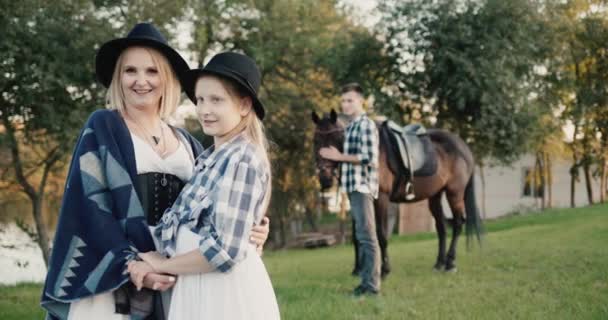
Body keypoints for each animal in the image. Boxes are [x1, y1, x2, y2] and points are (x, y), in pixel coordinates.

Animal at [312, 110, 482, 272]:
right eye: (315, 141)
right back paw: (439, 264)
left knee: (458, 223)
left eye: (336, 138)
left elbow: (381, 234)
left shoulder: (381, 198)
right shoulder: (356, 199)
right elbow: (357, 235)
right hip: (435, 196)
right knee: (441, 228)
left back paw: (450, 263)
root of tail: (464, 146)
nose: (325, 178)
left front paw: (384, 269)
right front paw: (358, 269)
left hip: (455, 193)